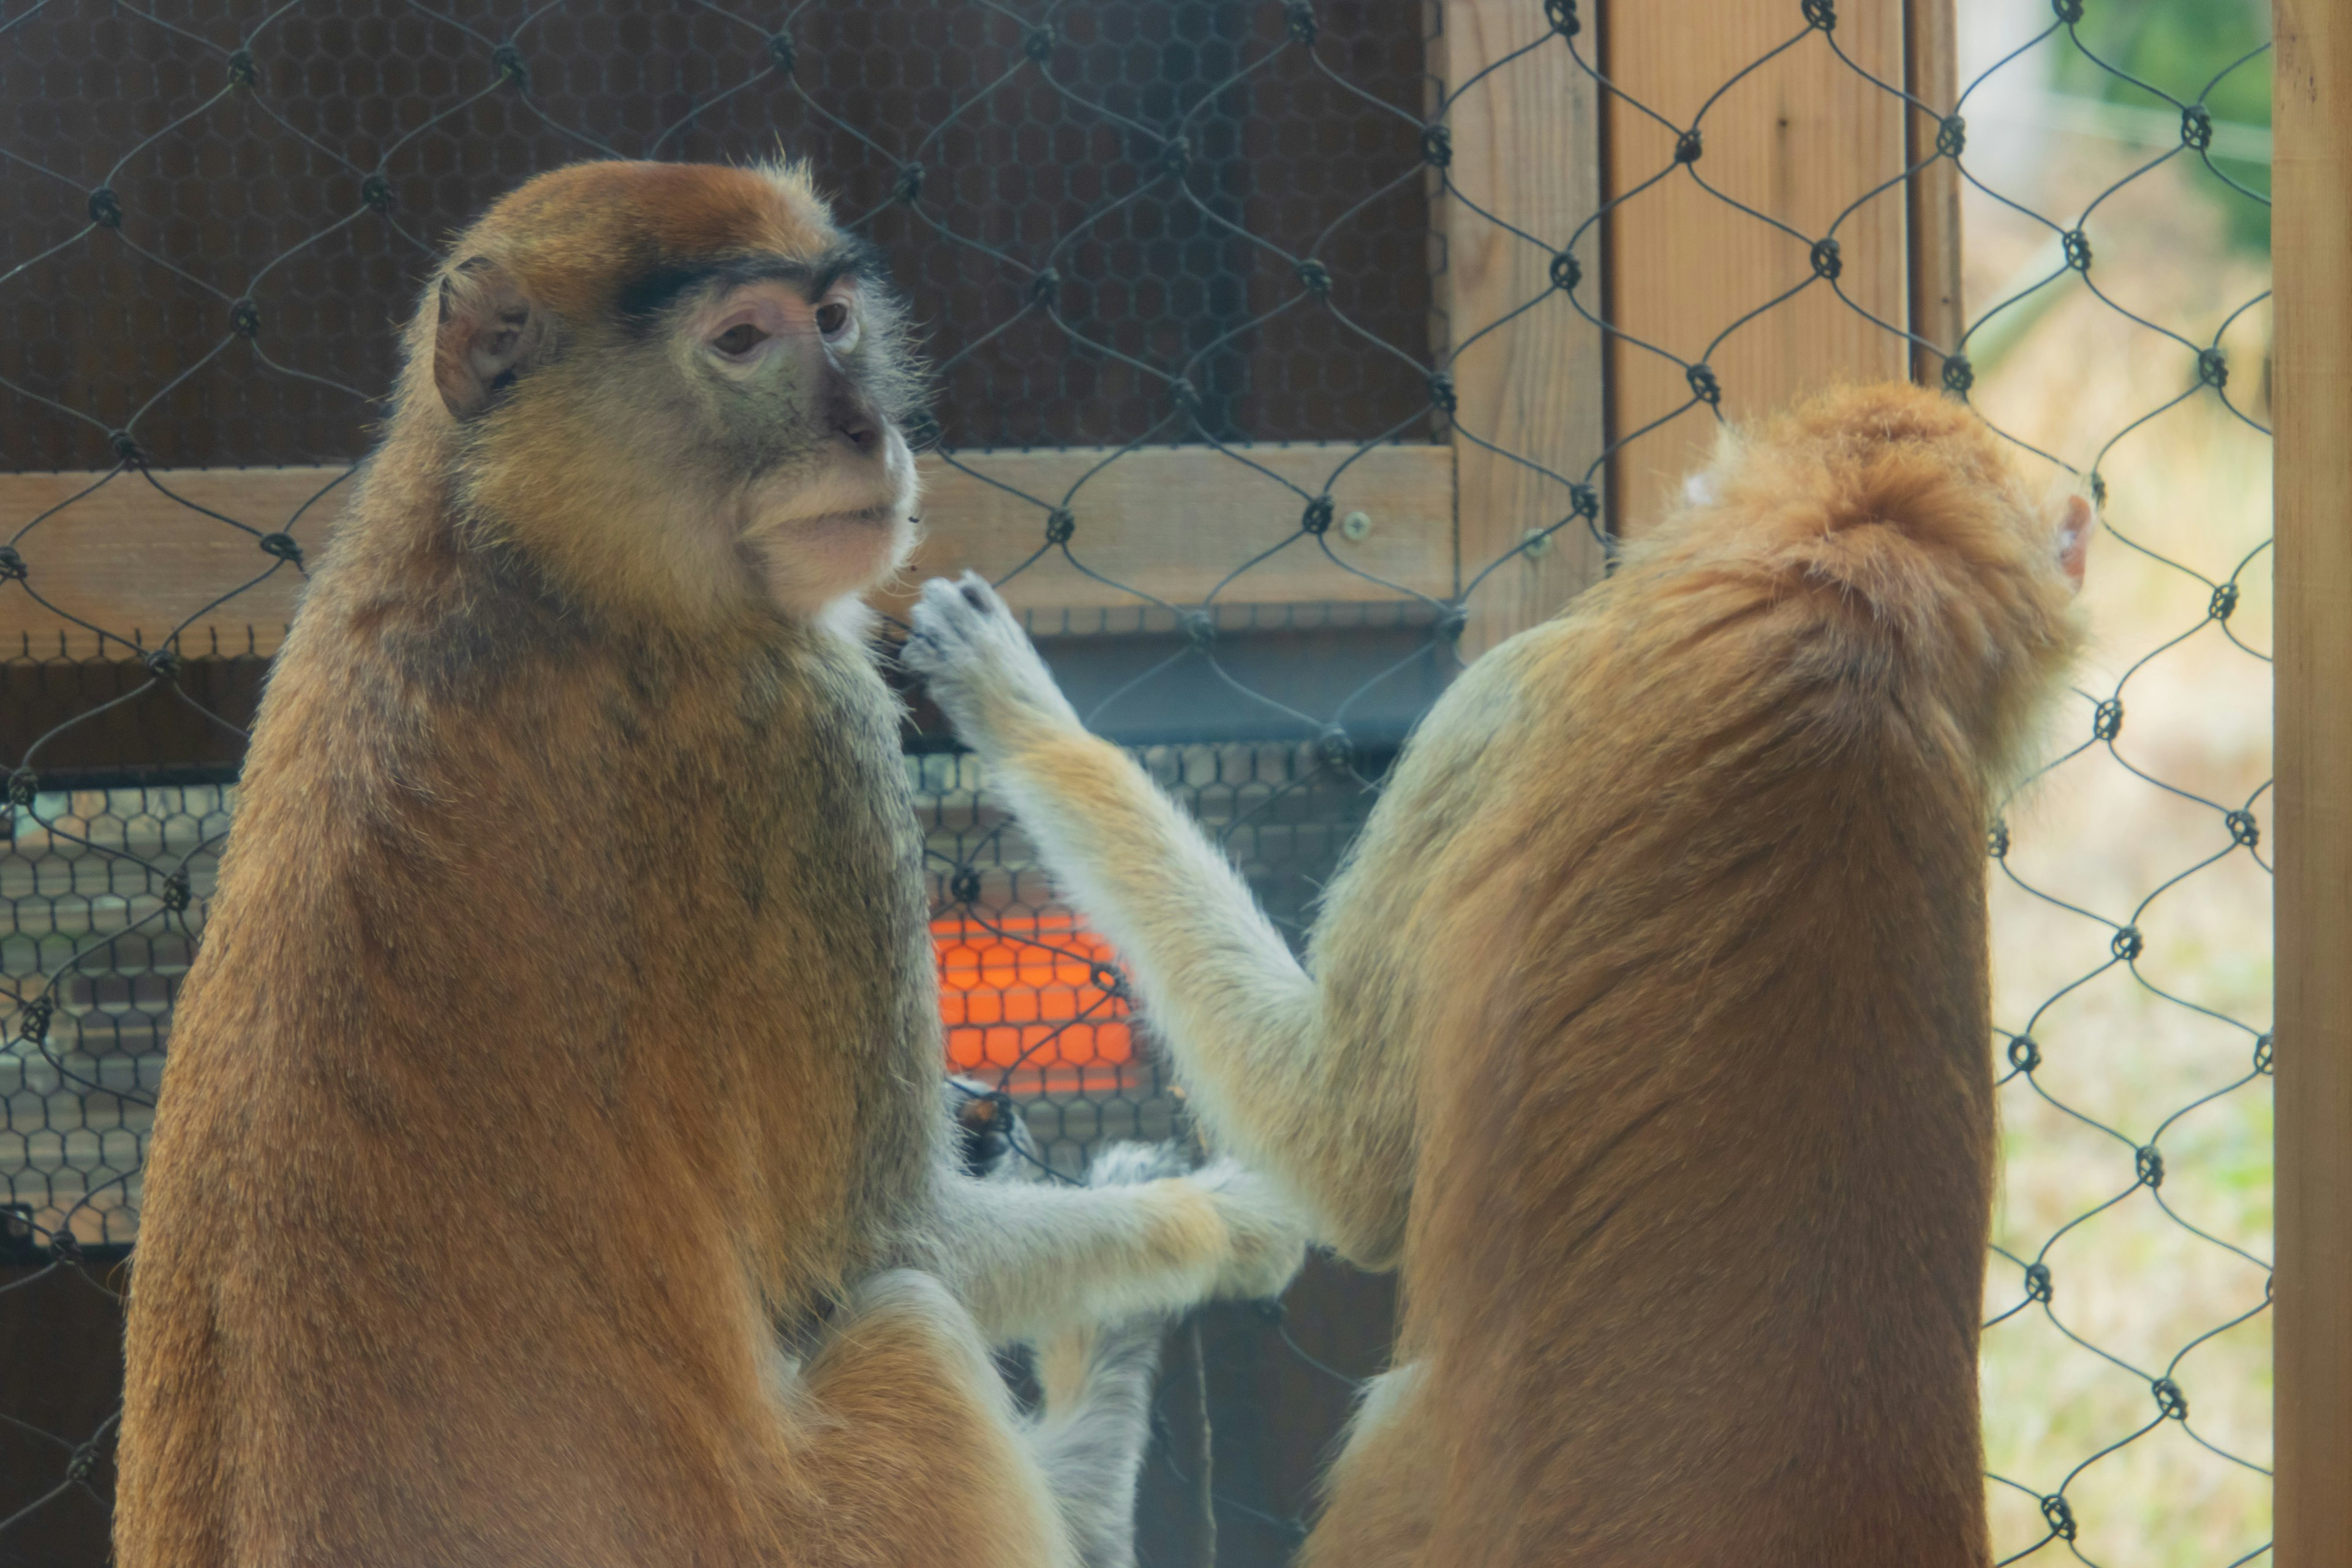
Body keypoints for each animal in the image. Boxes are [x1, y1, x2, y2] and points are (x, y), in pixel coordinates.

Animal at [115, 156, 1308, 1568]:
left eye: (835, 320)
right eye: (742, 341)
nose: (865, 429)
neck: (520, 554)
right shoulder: (803, 726)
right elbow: (899, 1244)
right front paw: (1236, 1219)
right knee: (909, 1320)